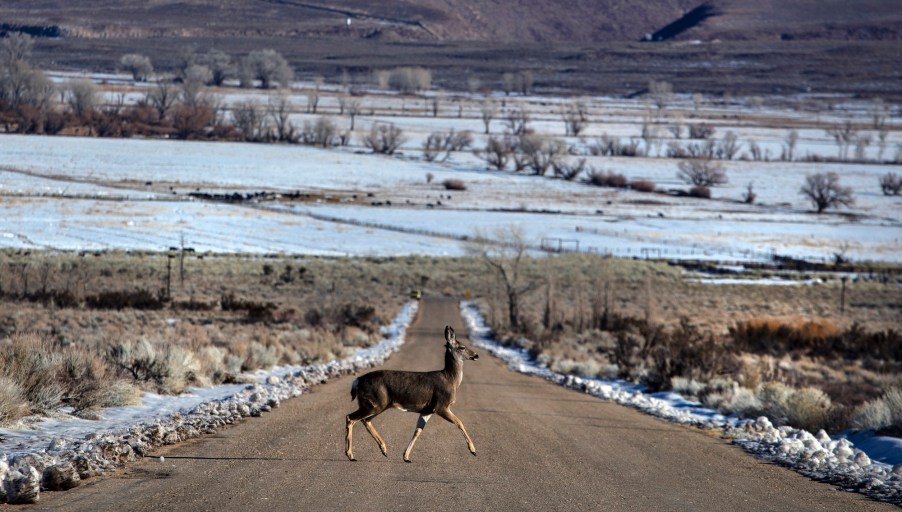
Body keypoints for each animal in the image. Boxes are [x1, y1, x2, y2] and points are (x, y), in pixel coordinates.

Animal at [344, 326, 480, 462]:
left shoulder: (427, 410)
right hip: (375, 403)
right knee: (351, 418)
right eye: (462, 347)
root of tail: (357, 381)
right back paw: (350, 455)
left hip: (376, 404)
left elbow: (418, 431)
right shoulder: (441, 406)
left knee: (365, 420)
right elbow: (459, 422)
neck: (450, 380)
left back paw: (383, 450)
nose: (476, 355)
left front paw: (406, 456)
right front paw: (473, 450)